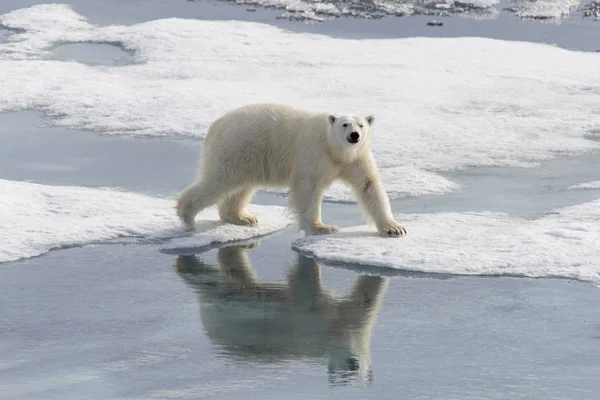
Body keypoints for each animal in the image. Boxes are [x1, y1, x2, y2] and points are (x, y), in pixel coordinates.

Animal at [176, 101, 406, 236]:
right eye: (344, 124)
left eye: (361, 125)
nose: (354, 136)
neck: (335, 151)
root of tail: (215, 125)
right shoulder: (313, 153)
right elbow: (308, 188)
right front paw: (322, 227)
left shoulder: (357, 158)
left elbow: (369, 187)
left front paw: (394, 228)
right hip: (237, 147)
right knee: (220, 180)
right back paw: (187, 216)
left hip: (248, 157)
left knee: (241, 186)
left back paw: (243, 217)